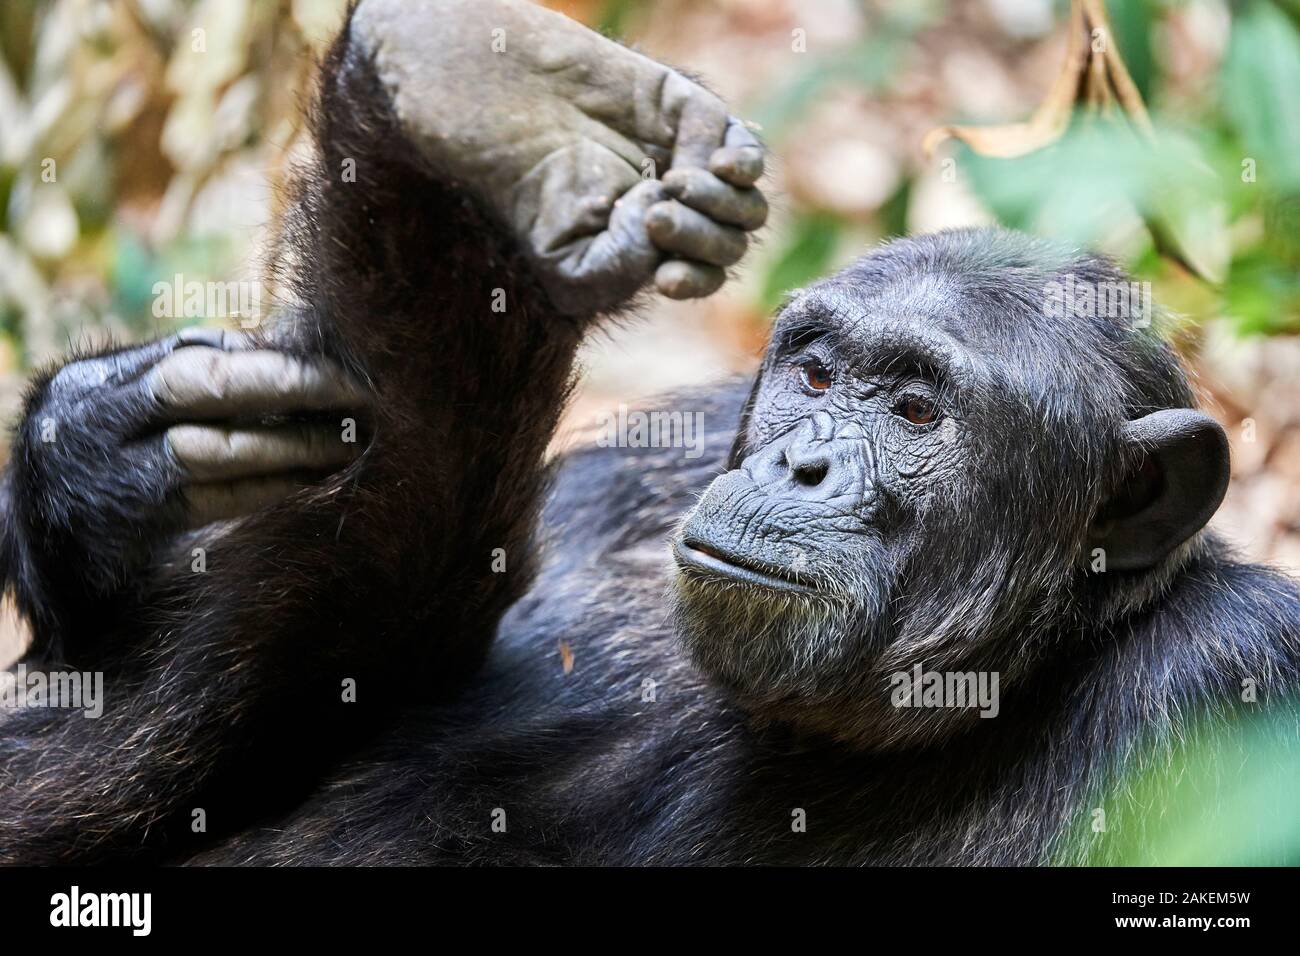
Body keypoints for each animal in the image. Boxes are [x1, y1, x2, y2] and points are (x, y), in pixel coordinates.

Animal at [0, 0, 1294, 868]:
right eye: (816, 373)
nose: (800, 459)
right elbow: (319, 682)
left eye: (917, 409)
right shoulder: (657, 459)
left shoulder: (1227, 680)